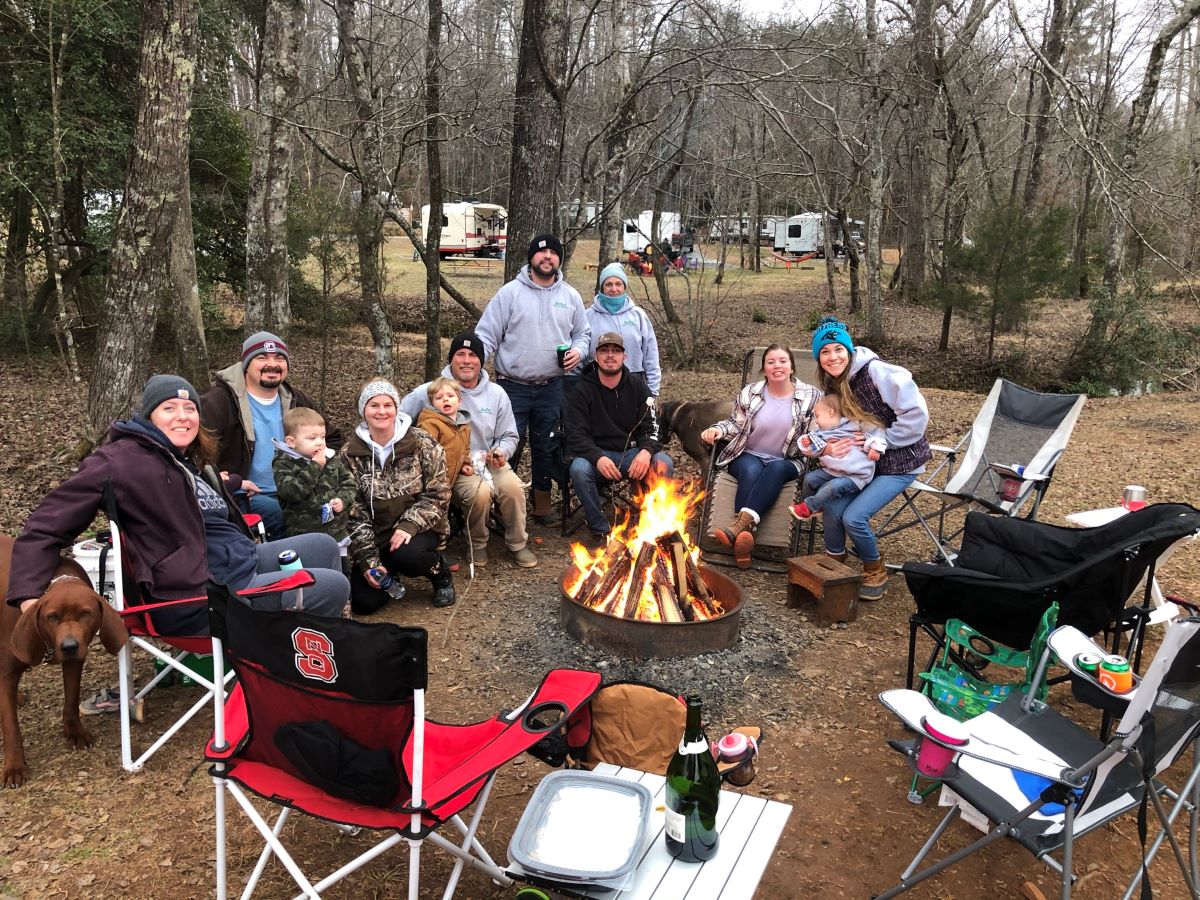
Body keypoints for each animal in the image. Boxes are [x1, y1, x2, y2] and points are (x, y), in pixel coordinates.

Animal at [1, 535, 127, 787]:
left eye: (86, 614)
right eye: (52, 617)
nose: (69, 646)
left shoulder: (74, 662)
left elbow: (71, 699)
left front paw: (75, 733)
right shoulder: (7, 673)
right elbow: (11, 727)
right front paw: (15, 767)